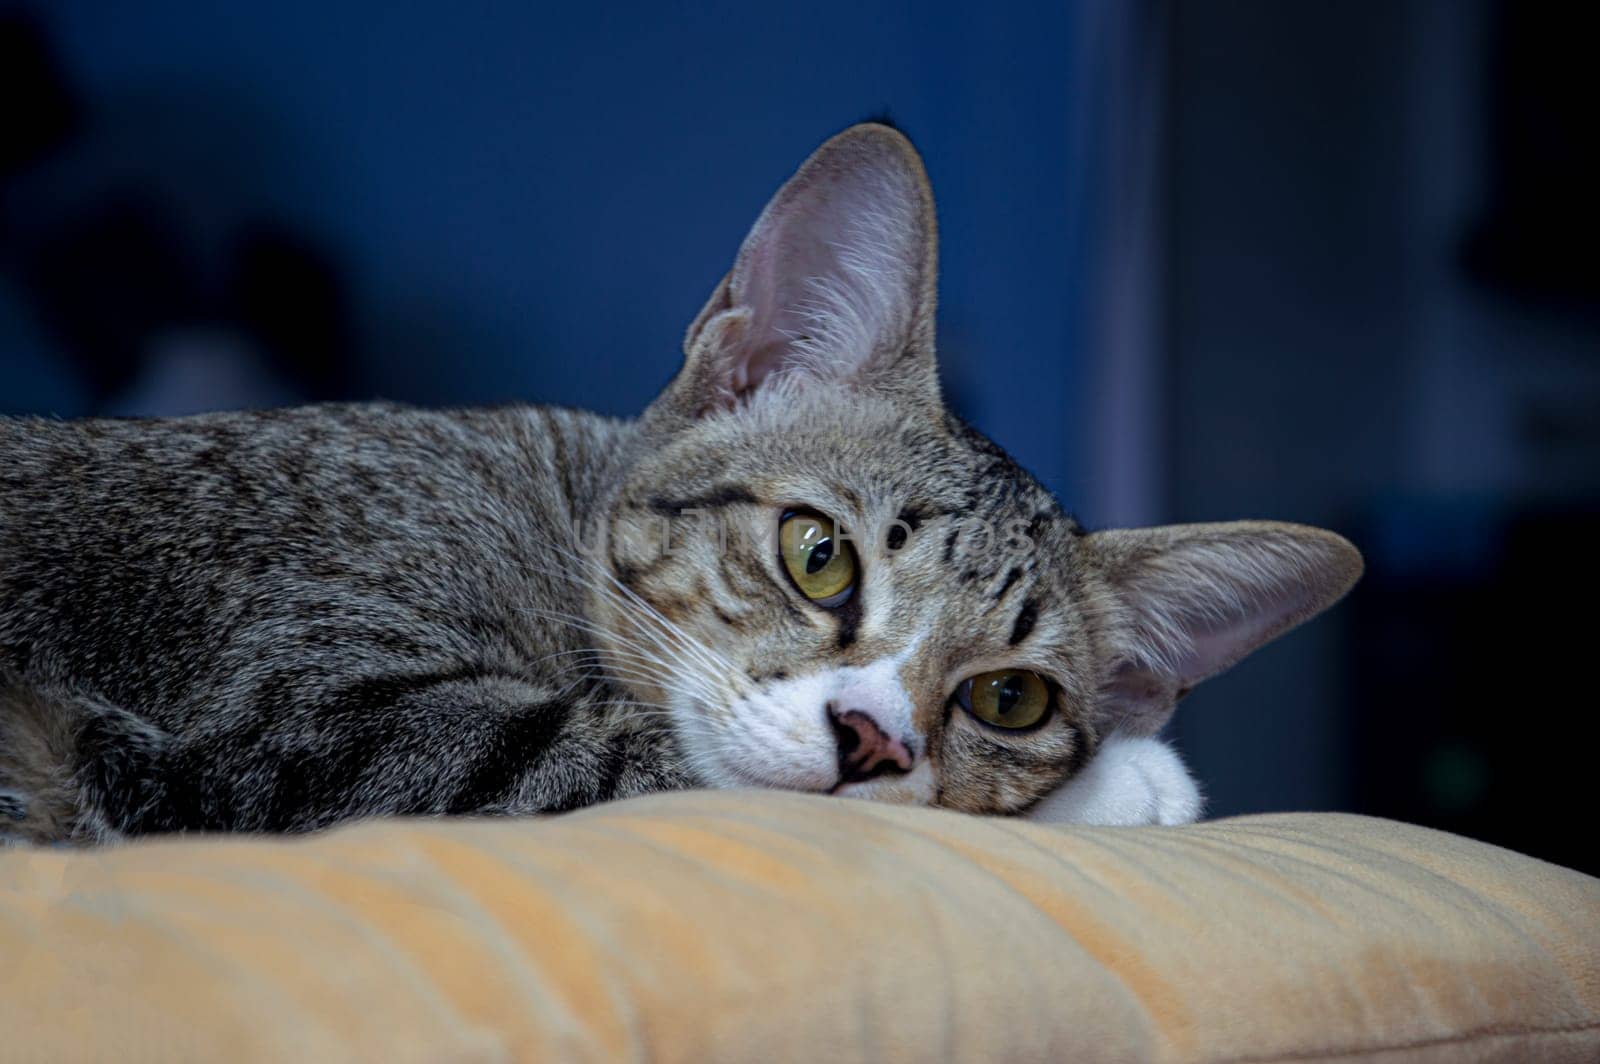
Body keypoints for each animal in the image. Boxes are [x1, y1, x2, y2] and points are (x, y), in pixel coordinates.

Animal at [0, 124, 1363, 844]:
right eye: (818, 551)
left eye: (1011, 697)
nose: (873, 737)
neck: (551, 502)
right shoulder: (305, 720)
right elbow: (648, 754)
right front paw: (1125, 779)